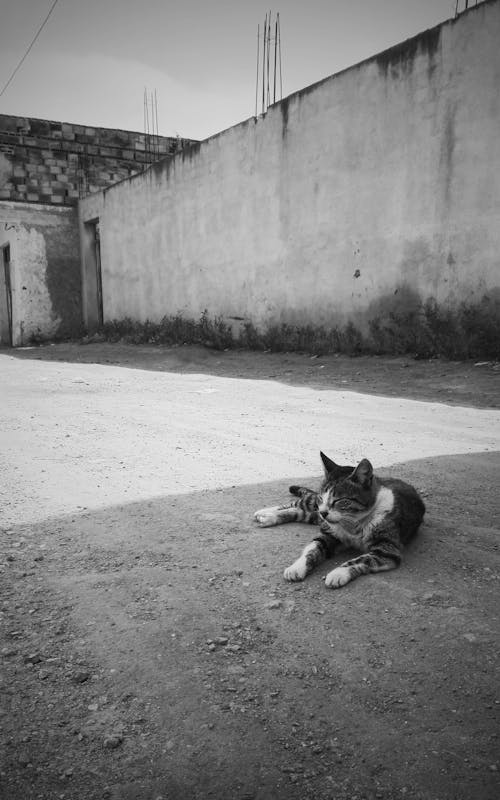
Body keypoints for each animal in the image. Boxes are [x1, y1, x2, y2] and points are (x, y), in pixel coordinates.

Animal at [254, 454, 426, 592]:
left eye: (340, 501)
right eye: (322, 498)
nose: (324, 512)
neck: (353, 523)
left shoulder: (387, 549)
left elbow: (362, 559)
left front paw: (337, 573)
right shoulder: (328, 534)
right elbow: (312, 549)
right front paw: (296, 567)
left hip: (315, 516)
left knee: (299, 512)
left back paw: (267, 517)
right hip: (314, 507)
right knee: (299, 503)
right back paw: (264, 512)